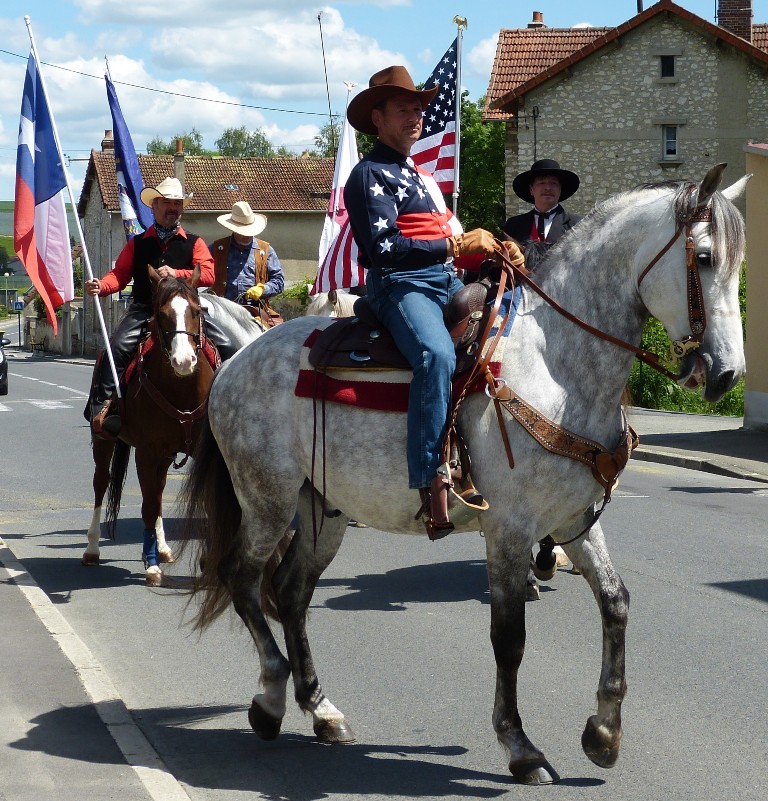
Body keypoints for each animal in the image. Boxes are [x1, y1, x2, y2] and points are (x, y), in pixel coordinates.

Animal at [81, 266, 232, 584]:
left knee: (159, 491)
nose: (183, 360)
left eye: (197, 311)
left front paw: (207, 561)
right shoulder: (147, 453)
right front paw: (151, 565)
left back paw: (162, 548)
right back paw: (92, 549)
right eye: (161, 314)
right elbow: (148, 506)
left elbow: (203, 504)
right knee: (102, 484)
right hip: (104, 441)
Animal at [178, 166, 744, 784]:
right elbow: (509, 638)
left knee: (290, 590)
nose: (727, 374)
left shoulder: (574, 520)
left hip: (323, 510)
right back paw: (271, 698)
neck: (555, 364)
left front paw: (604, 733)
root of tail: (239, 358)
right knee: (242, 580)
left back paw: (322, 710)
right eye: (705, 257)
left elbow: (616, 604)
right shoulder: (511, 530)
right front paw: (520, 746)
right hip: (267, 500)